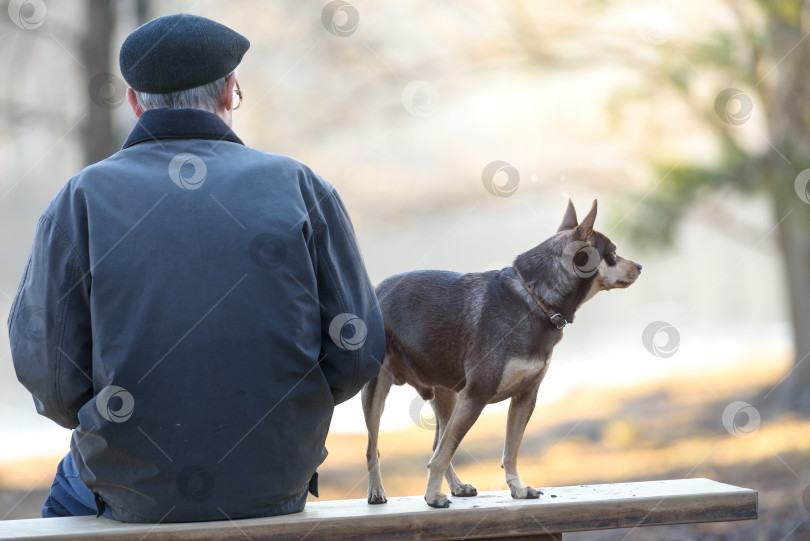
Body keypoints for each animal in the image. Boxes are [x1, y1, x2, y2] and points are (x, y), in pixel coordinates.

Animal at [362, 198, 640, 506]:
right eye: (613, 253)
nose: (639, 266)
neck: (534, 299)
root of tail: (374, 290)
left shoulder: (524, 398)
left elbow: (510, 452)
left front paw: (517, 488)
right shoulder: (476, 395)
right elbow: (445, 453)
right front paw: (432, 496)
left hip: (446, 395)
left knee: (438, 442)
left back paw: (457, 486)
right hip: (377, 393)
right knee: (376, 448)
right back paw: (377, 491)